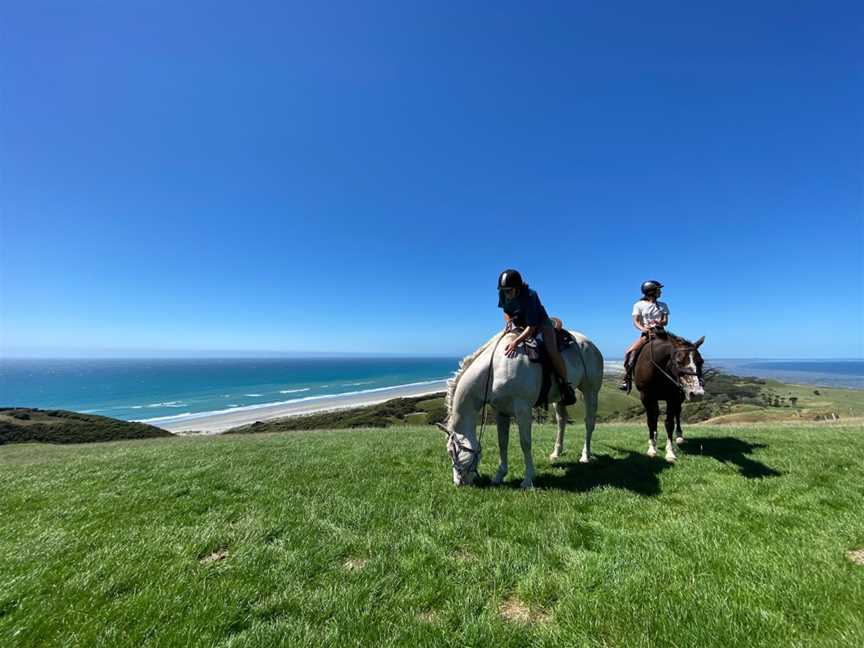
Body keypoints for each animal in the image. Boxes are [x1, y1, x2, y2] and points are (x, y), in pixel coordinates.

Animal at [438, 332, 600, 488]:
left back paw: (585, 455)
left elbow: (525, 443)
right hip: (559, 399)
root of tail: (591, 345)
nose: (458, 483)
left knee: (589, 423)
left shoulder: (523, 409)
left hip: (590, 391)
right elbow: (502, 442)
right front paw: (499, 475)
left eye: (452, 452)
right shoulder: (501, 411)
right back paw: (556, 453)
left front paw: (528, 479)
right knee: (562, 421)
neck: (495, 368)